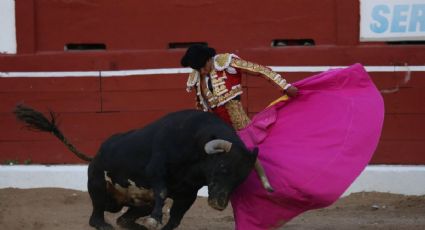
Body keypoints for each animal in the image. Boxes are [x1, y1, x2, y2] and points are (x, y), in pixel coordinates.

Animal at [14, 104, 256, 230]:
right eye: (222, 167)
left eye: (240, 179)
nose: (218, 204)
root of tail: (96, 154)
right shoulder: (156, 170)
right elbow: (162, 191)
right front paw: (154, 220)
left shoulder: (188, 193)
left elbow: (176, 217)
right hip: (97, 184)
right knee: (96, 216)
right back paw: (106, 225)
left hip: (138, 202)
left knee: (123, 218)